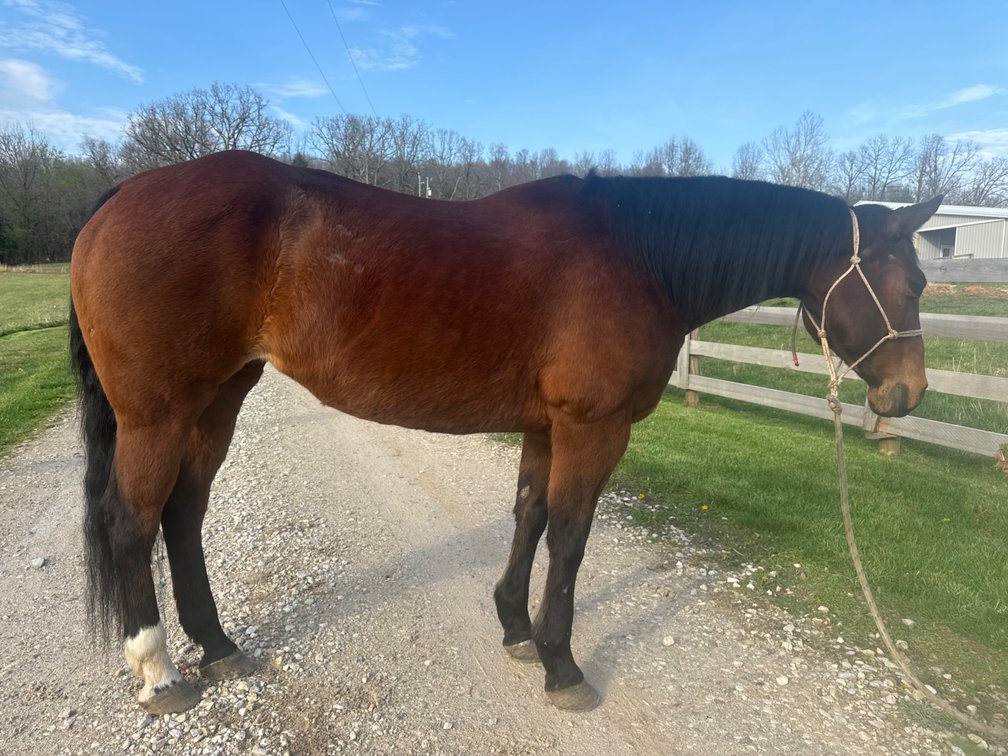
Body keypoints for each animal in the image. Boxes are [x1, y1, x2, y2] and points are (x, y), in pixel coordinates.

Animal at [69, 150, 939, 715]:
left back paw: (216, 646)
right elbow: (570, 539)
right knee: (132, 520)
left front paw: (516, 628)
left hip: (219, 399)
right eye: (915, 280)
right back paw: (158, 672)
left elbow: (529, 516)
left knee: (182, 516)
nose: (908, 393)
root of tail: (121, 194)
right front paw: (561, 663)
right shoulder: (594, 430)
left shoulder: (546, 427)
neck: (639, 255)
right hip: (160, 413)